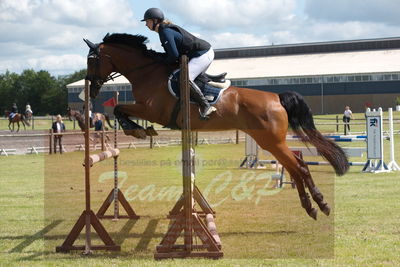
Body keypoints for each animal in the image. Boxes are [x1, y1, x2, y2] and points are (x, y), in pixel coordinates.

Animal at [83, 33, 348, 221]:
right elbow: (119, 109)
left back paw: (320, 204)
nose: (91, 88)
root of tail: (276, 97)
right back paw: (312, 206)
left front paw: (137, 129)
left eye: (92, 60)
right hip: (271, 143)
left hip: (271, 141)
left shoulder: (151, 111)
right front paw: (139, 129)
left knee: (299, 168)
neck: (147, 72)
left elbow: (120, 109)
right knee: (296, 165)